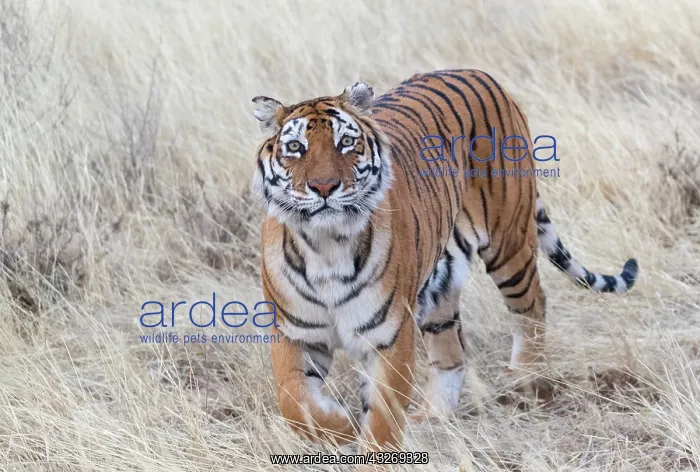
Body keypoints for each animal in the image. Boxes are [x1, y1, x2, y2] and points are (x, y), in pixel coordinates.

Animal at [250, 69, 639, 452]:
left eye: (346, 142)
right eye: (295, 148)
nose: (325, 187)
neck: (326, 245)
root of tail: (481, 74)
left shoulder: (390, 335)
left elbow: (383, 416)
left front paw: (366, 443)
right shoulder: (294, 333)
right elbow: (294, 401)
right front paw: (341, 428)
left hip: (508, 242)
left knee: (532, 303)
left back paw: (525, 378)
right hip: (442, 280)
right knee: (451, 349)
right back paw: (431, 415)